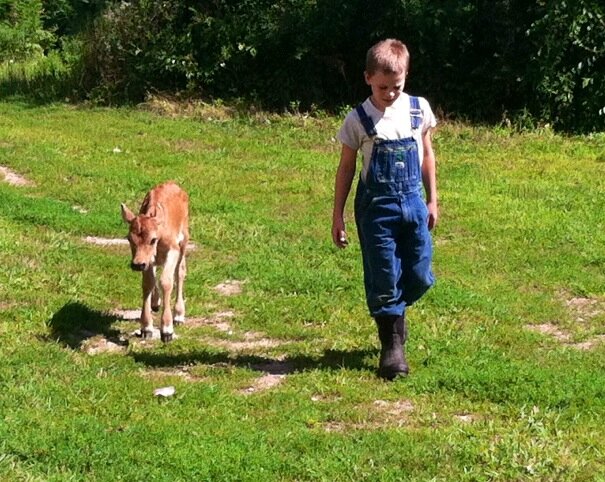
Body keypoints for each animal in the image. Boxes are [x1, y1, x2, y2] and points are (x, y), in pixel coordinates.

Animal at [120, 182, 189, 342]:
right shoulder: (147, 260)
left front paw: (167, 330)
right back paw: (155, 303)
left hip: (184, 239)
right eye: (129, 238)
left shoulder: (173, 249)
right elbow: (147, 283)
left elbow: (166, 281)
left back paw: (179, 315)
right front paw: (146, 328)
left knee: (180, 271)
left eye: (152, 239)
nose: (137, 264)